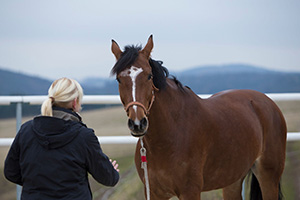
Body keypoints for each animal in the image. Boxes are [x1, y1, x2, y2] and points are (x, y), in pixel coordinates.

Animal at [109, 35, 286, 199]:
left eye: (149, 76)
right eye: (119, 79)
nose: (137, 123)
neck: (169, 137)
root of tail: (268, 103)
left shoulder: (190, 191)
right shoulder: (154, 193)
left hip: (268, 176)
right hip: (233, 180)